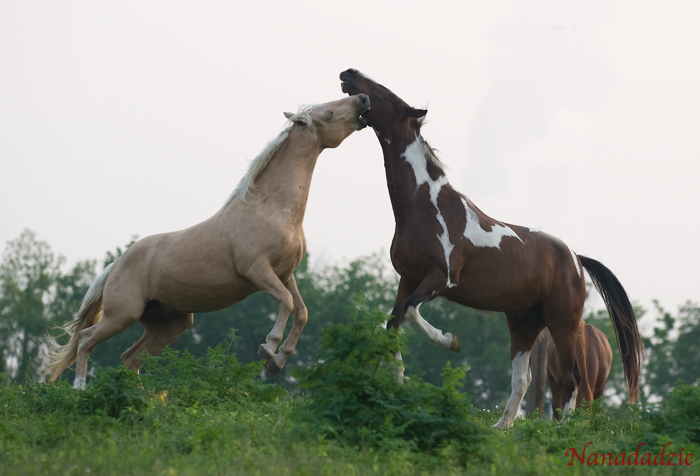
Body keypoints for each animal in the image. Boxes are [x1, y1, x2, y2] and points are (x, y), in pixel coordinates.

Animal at [46, 94, 371, 389]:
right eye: (329, 113)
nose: (363, 99)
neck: (273, 210)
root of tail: (114, 265)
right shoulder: (257, 270)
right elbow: (288, 303)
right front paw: (267, 349)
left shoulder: (284, 274)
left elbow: (301, 313)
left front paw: (275, 364)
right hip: (122, 315)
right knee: (86, 340)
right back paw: (79, 388)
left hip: (169, 324)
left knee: (130, 359)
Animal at [339, 68, 643, 429]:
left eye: (386, 94)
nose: (349, 73)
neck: (424, 205)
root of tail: (577, 259)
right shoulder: (408, 279)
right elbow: (393, 325)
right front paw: (398, 382)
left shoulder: (441, 279)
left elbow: (412, 312)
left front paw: (452, 341)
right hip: (524, 322)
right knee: (524, 378)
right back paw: (502, 427)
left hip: (562, 323)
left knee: (572, 381)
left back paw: (559, 431)